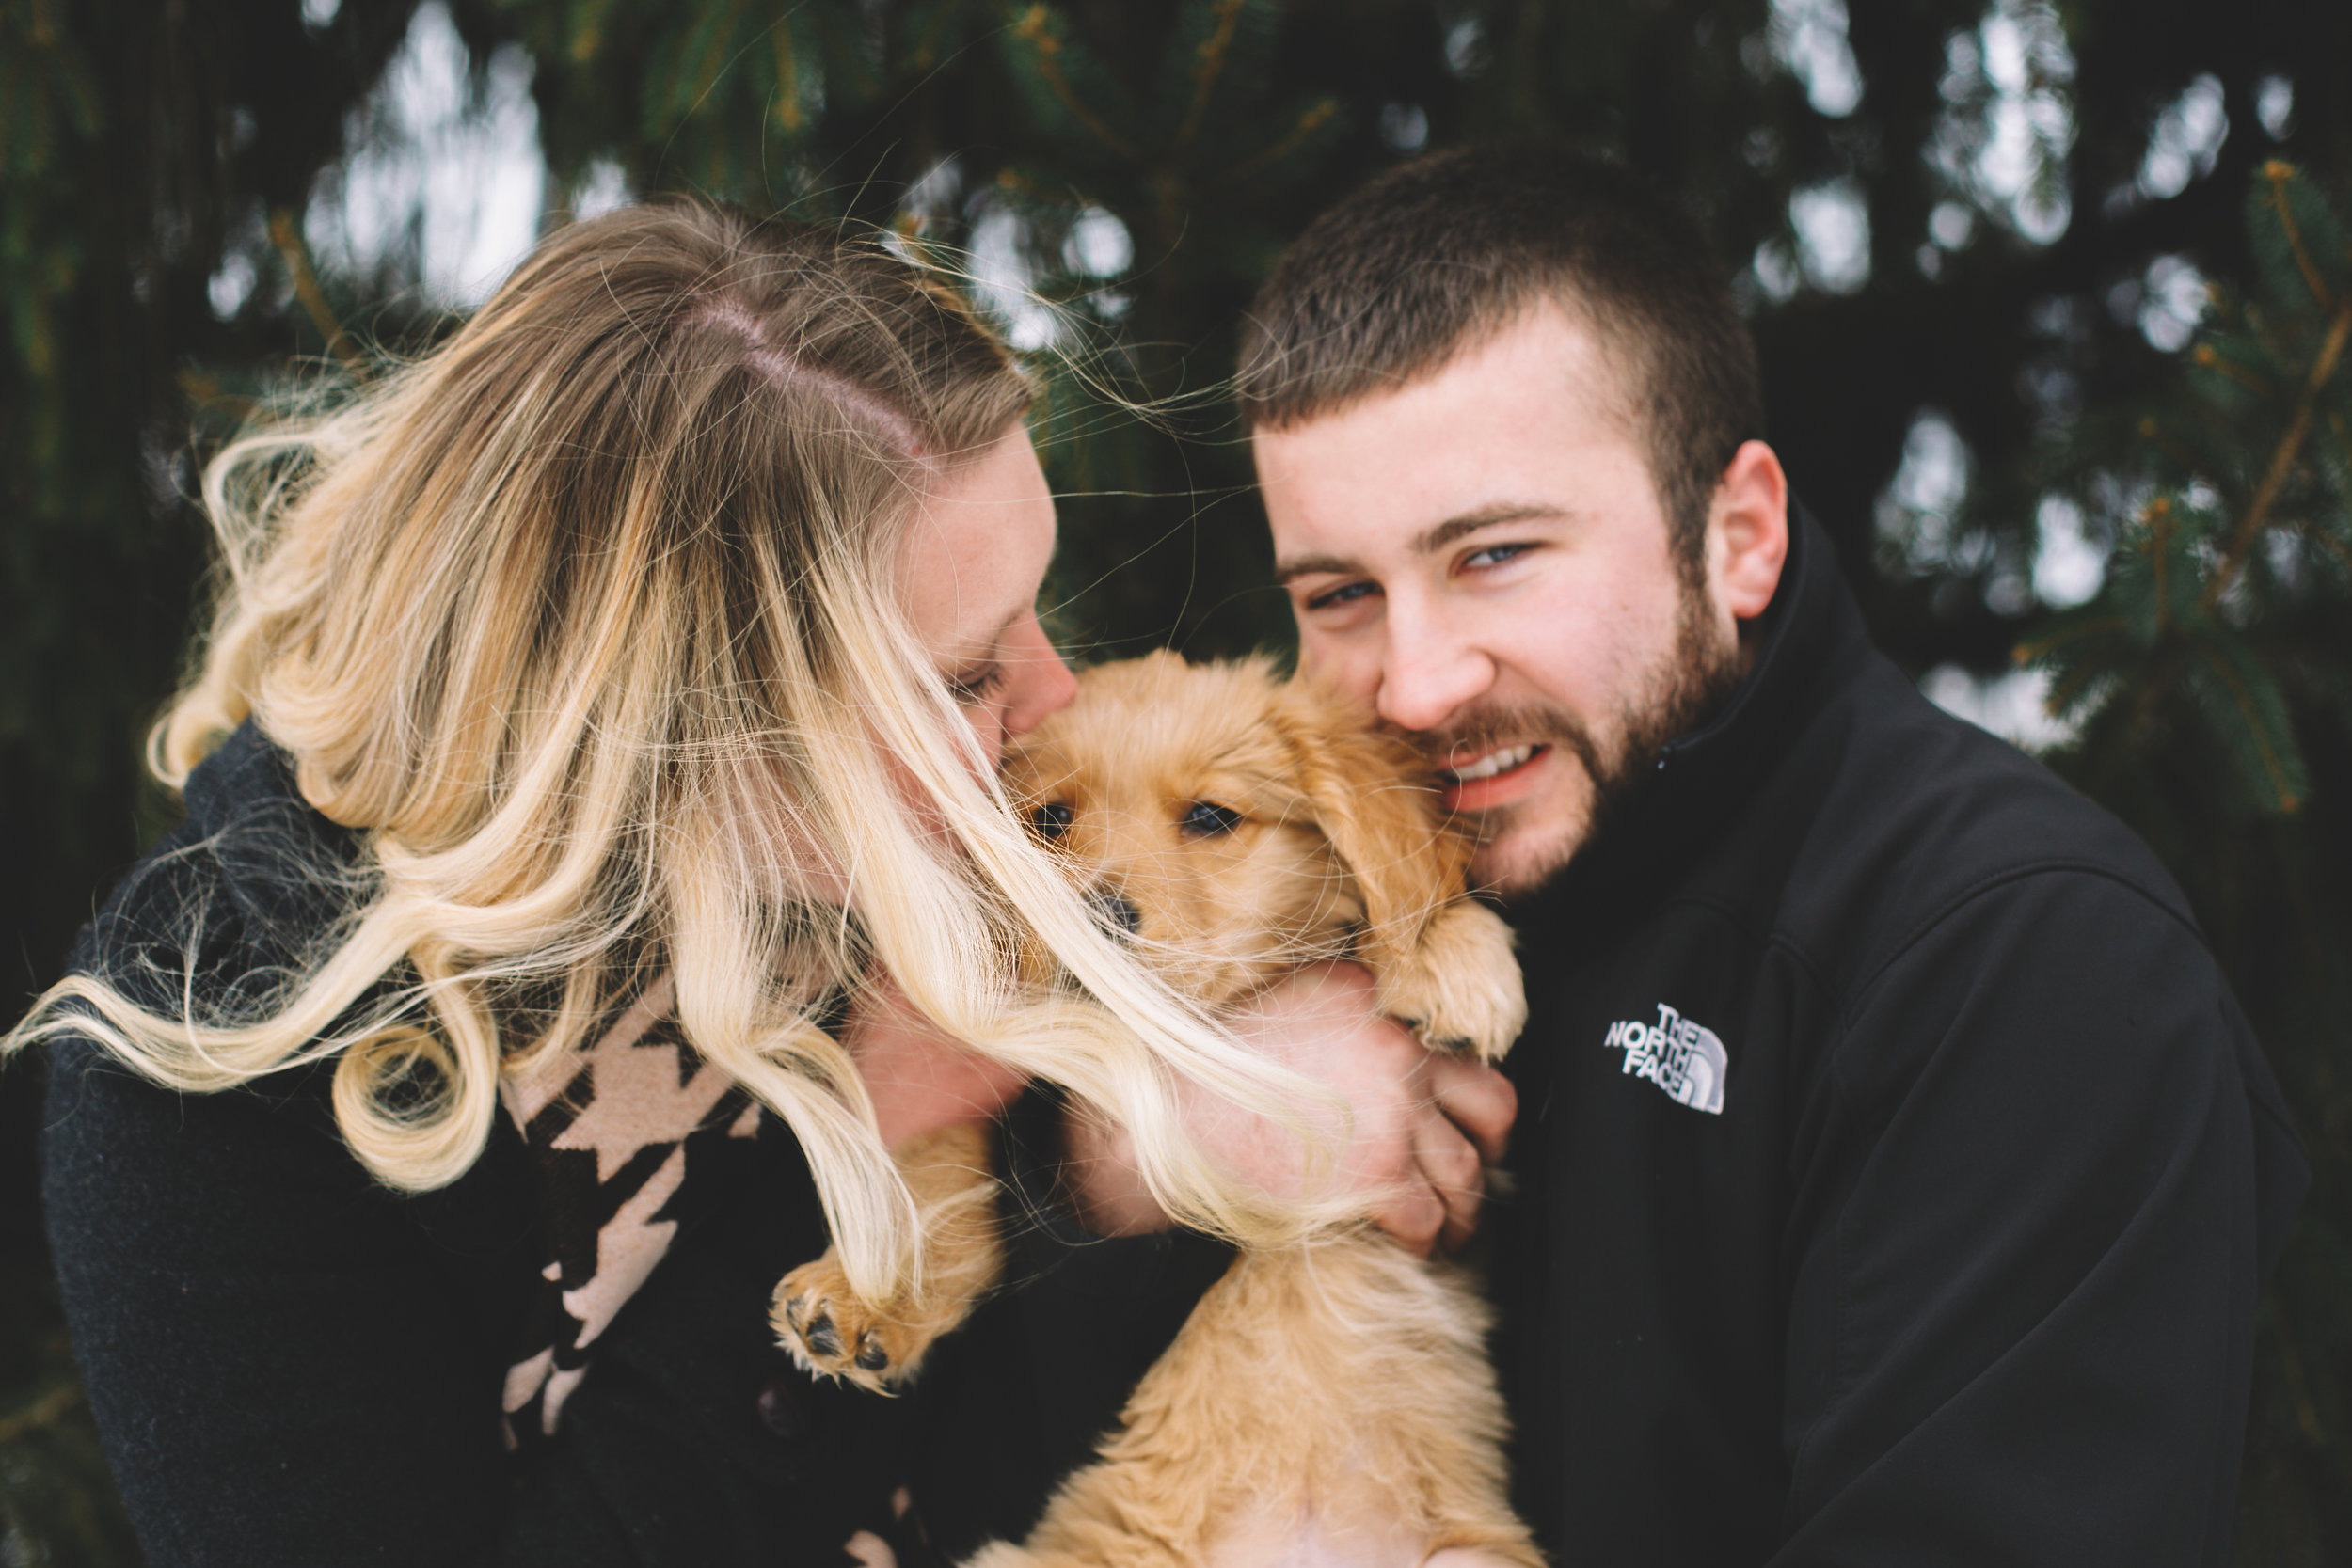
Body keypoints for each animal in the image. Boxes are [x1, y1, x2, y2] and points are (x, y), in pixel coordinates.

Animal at [776, 653, 1543, 1568]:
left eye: (1212, 817)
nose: (1095, 918)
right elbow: (947, 1154)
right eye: (1051, 819)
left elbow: (1412, 903)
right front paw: (865, 1287)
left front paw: (1442, 953)